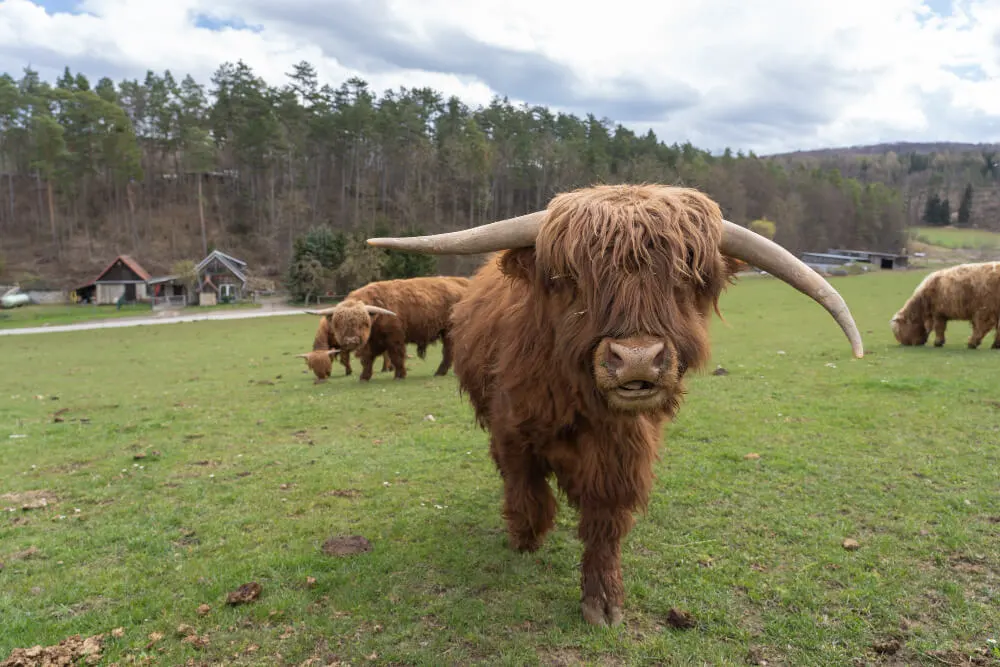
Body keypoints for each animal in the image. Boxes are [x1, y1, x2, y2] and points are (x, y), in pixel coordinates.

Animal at [302, 276, 470, 380]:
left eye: (364, 323)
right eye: (337, 323)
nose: (351, 340)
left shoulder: (395, 339)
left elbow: (397, 357)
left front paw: (399, 375)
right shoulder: (370, 343)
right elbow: (367, 359)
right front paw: (364, 377)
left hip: (449, 331)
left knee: (448, 352)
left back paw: (440, 372)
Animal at [372, 181, 864, 628]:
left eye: (685, 277)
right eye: (571, 279)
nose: (637, 359)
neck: (580, 404)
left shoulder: (623, 450)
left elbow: (605, 523)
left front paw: (602, 602)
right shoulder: (512, 432)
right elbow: (527, 491)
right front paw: (526, 537)